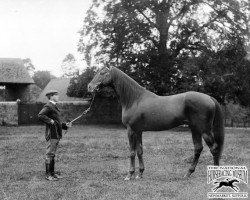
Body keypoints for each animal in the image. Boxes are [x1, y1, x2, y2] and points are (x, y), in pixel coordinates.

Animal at [88, 66, 225, 180]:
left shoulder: (130, 130)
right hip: (195, 129)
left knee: (214, 148)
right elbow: (139, 151)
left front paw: (129, 175)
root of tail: (209, 98)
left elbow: (132, 152)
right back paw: (188, 173)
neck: (134, 99)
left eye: (102, 73)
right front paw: (140, 173)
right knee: (198, 148)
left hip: (204, 130)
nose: (89, 87)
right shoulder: (138, 131)